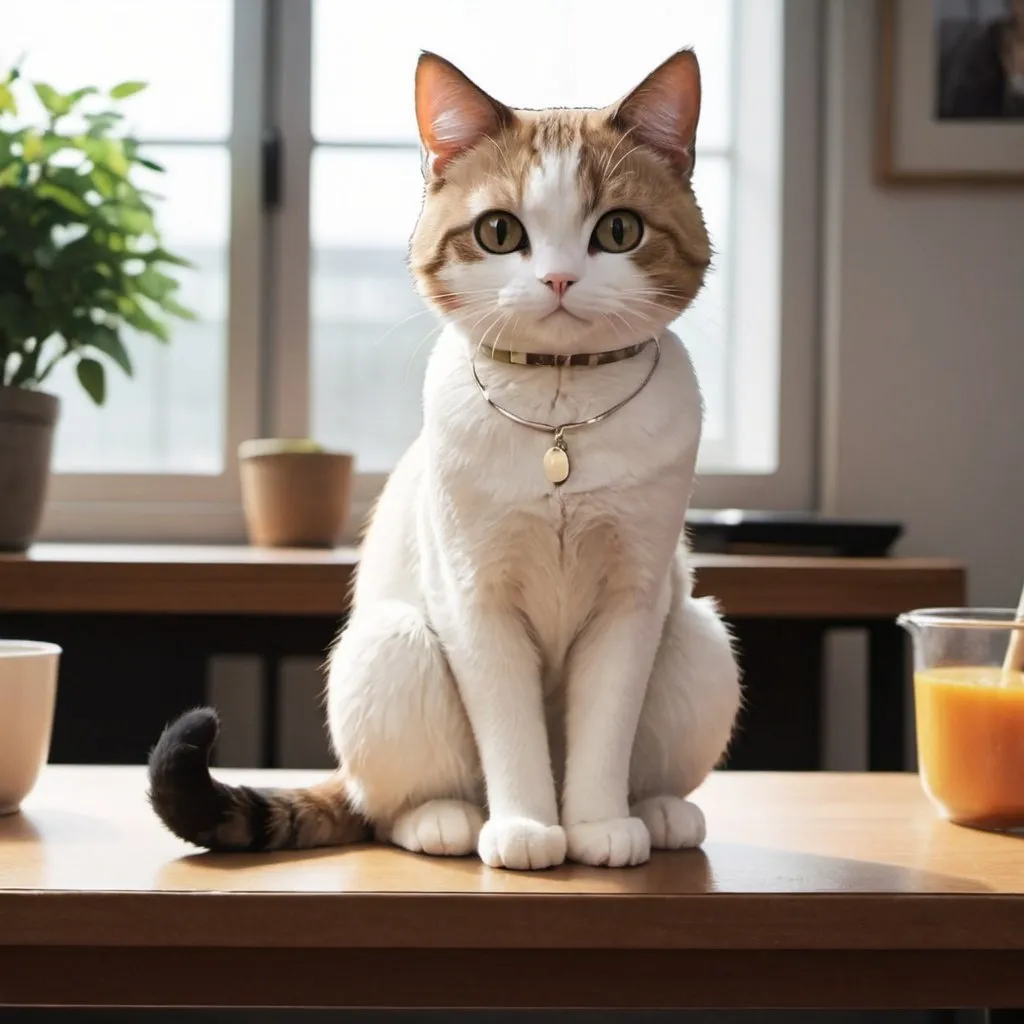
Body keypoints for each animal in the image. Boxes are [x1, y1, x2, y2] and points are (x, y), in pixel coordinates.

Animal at [148, 46, 741, 864]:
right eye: (499, 232)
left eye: (619, 230)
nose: (559, 278)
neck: (559, 416)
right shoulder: (474, 597)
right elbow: (511, 733)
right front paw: (527, 828)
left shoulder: (632, 600)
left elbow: (604, 730)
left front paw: (594, 826)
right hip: (393, 644)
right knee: (386, 806)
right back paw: (445, 820)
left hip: (697, 636)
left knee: (652, 761)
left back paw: (655, 813)